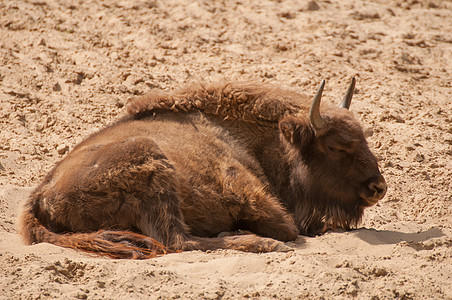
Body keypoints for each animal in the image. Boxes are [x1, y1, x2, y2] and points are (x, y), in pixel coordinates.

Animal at [18, 78, 384, 258]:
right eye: (337, 146)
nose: (378, 188)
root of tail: (40, 195)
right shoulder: (251, 197)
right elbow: (288, 228)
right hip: (153, 169)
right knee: (177, 242)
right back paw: (257, 243)